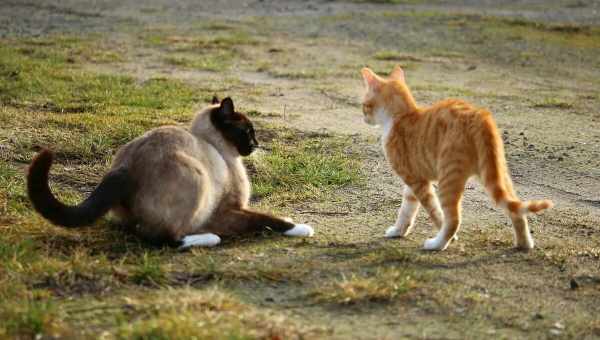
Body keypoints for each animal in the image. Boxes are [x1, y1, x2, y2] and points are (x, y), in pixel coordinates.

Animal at [27, 95, 314, 247]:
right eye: (247, 132)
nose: (256, 144)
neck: (218, 148)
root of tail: (124, 168)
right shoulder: (230, 212)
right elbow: (269, 219)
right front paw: (302, 228)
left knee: (136, 230)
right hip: (197, 177)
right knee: (165, 238)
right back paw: (208, 238)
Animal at [360, 65, 552, 250]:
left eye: (364, 105)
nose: (364, 117)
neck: (401, 116)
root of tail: (479, 114)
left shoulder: (418, 182)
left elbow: (434, 211)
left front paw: (450, 238)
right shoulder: (415, 180)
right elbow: (407, 209)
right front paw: (398, 231)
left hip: (449, 178)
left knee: (453, 219)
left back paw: (437, 244)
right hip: (496, 171)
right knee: (516, 210)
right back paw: (524, 244)